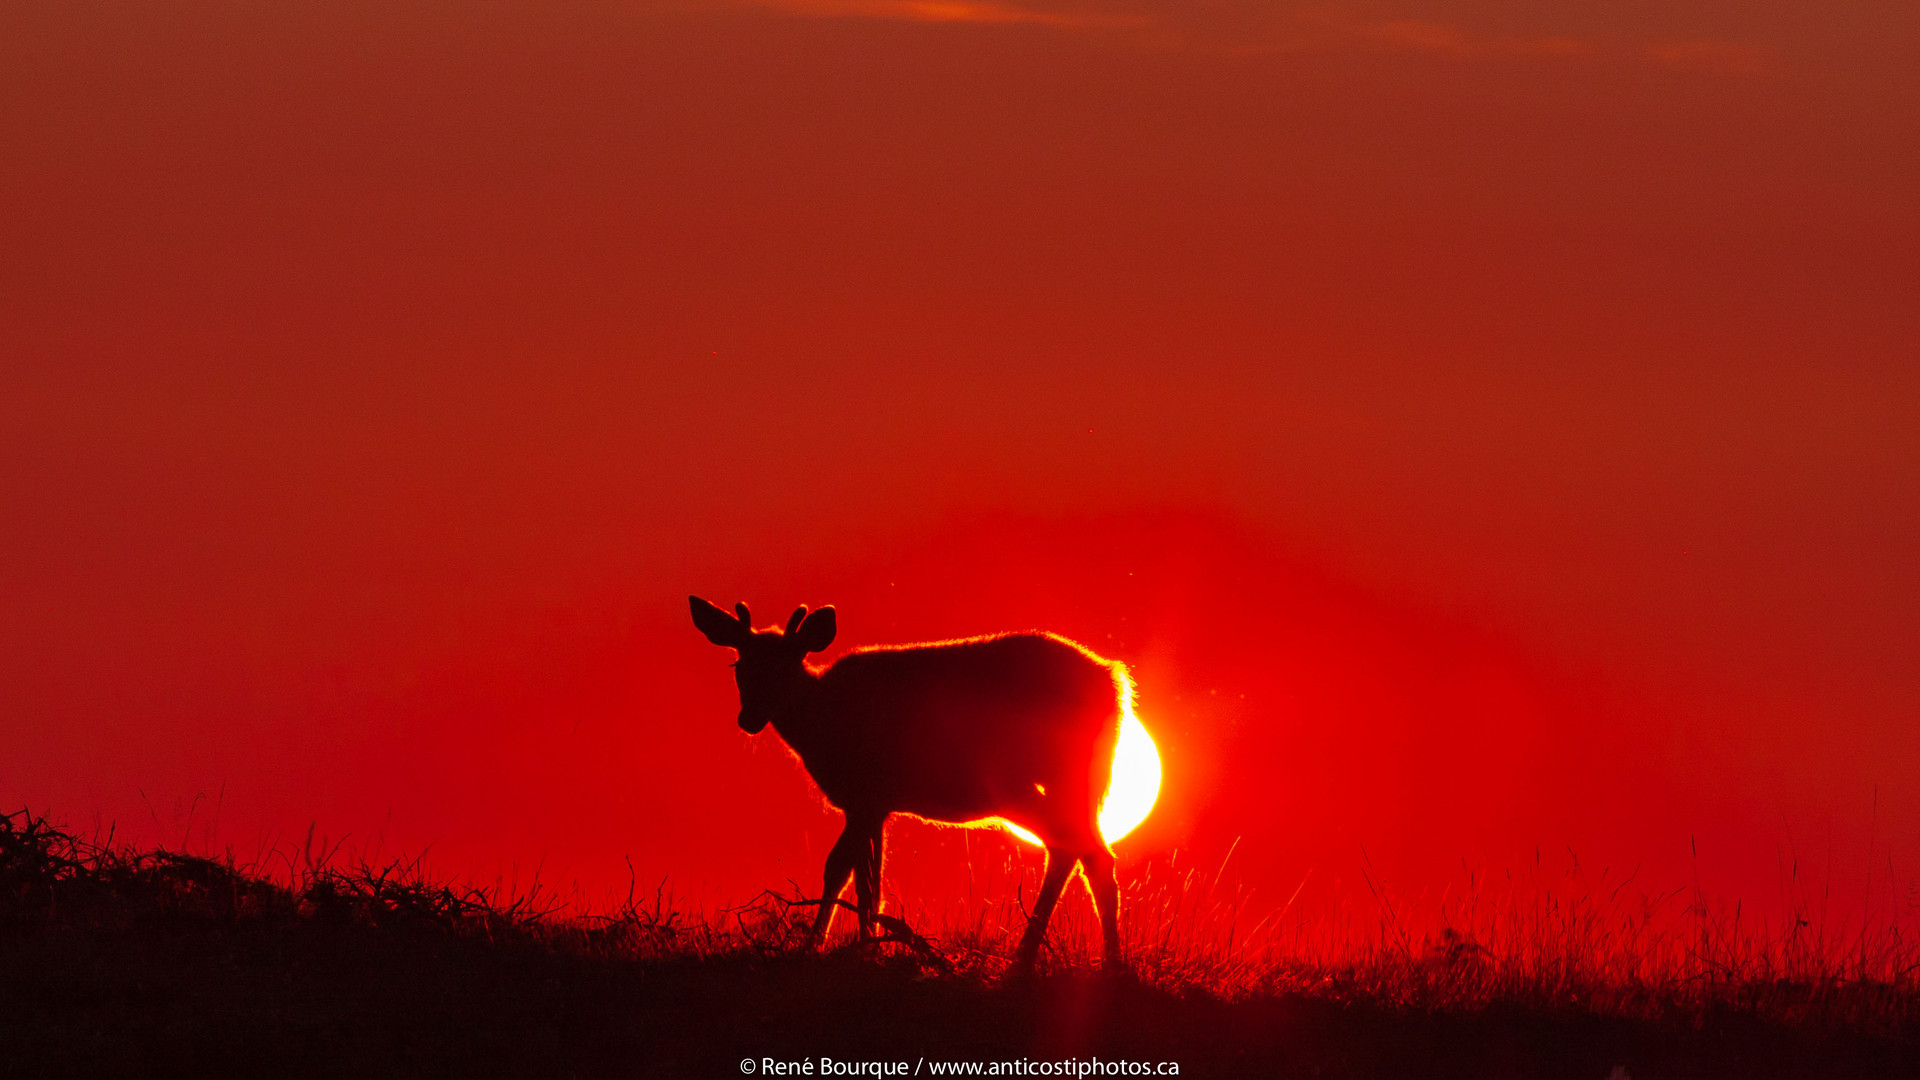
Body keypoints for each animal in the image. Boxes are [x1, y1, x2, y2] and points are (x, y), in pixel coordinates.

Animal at [687, 595, 1121, 968]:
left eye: (784, 667)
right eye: (738, 667)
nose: (749, 718)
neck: (822, 722)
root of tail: (1114, 684)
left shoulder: (864, 792)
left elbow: (840, 869)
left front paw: (823, 946)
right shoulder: (876, 804)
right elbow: (867, 878)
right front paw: (867, 944)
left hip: (1030, 777)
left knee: (1079, 849)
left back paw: (1085, 961)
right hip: (1070, 781)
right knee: (1078, 850)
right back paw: (1054, 956)